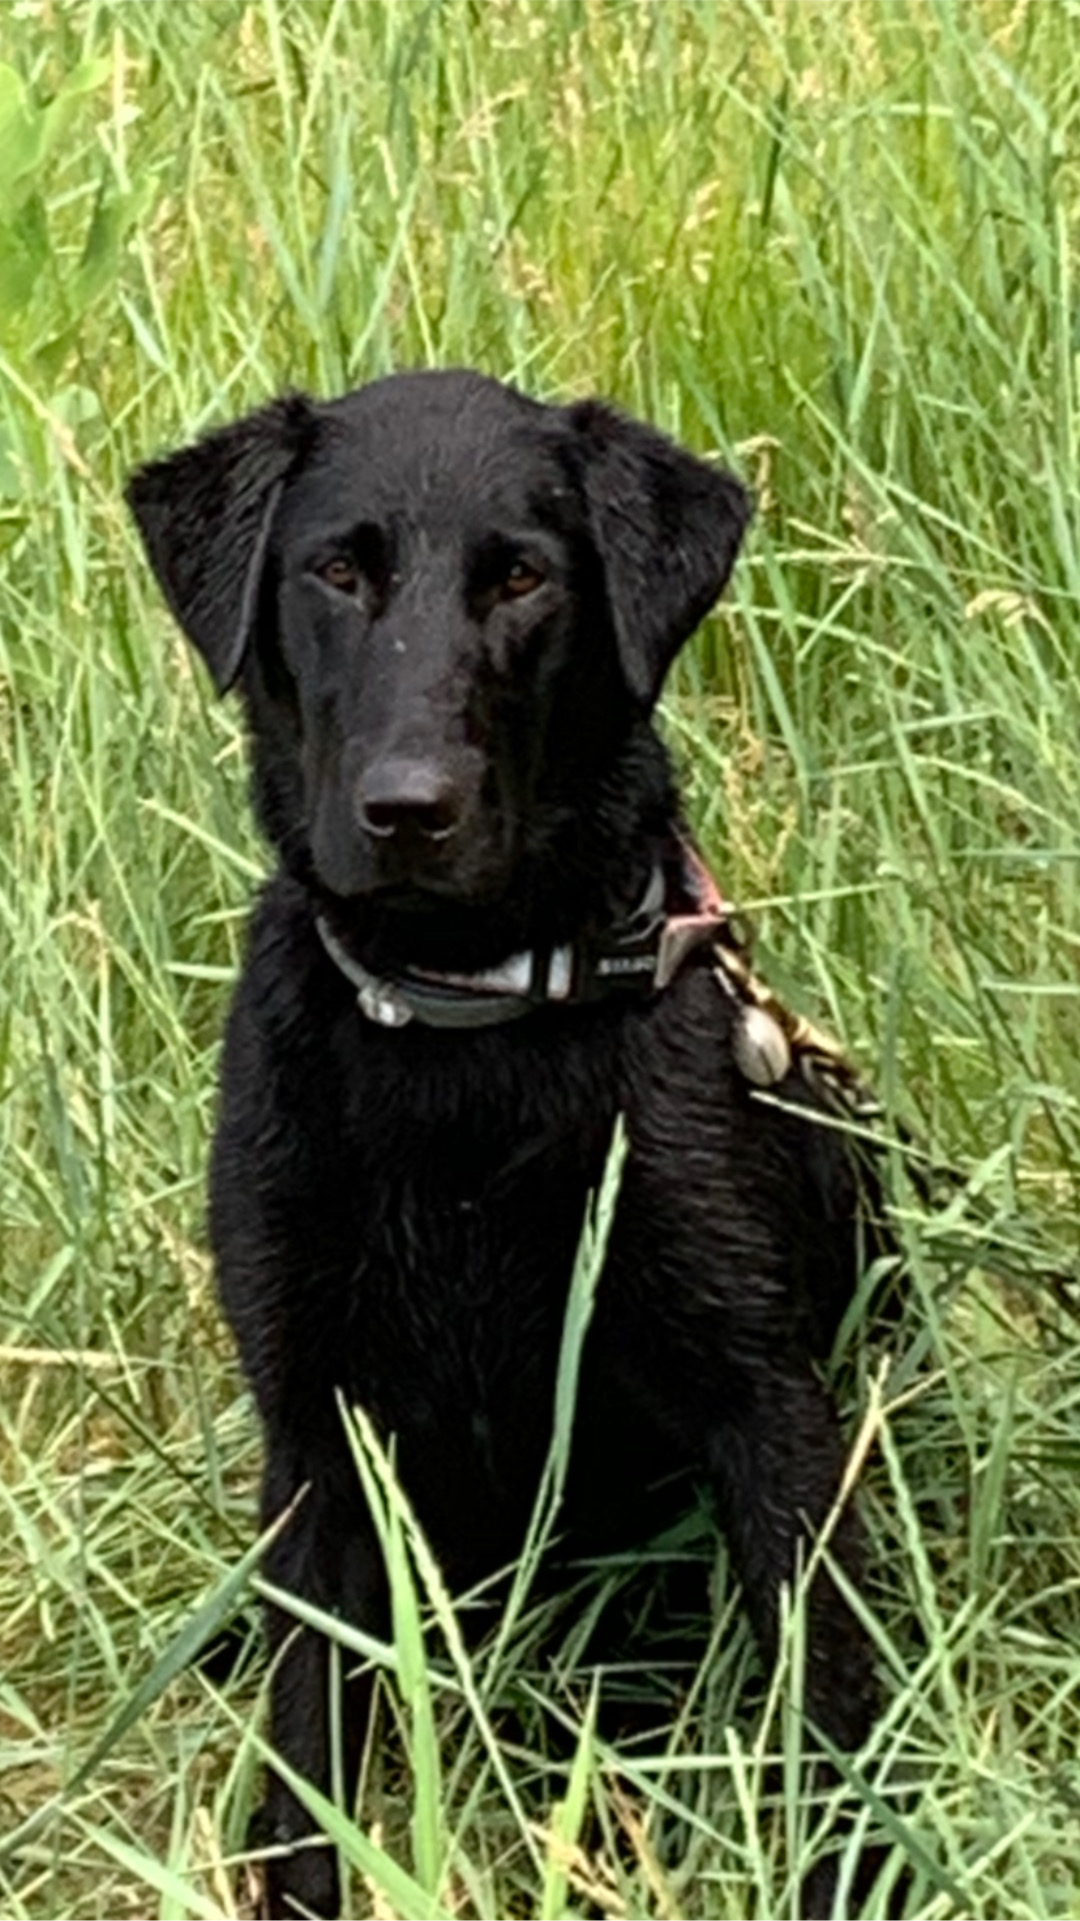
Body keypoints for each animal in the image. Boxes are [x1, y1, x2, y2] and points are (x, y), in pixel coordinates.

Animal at [130, 374, 880, 1921]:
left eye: (525, 578)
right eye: (335, 571)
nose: (408, 811)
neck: (464, 1026)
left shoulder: (765, 1401)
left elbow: (824, 1690)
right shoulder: (320, 1441)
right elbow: (312, 1745)